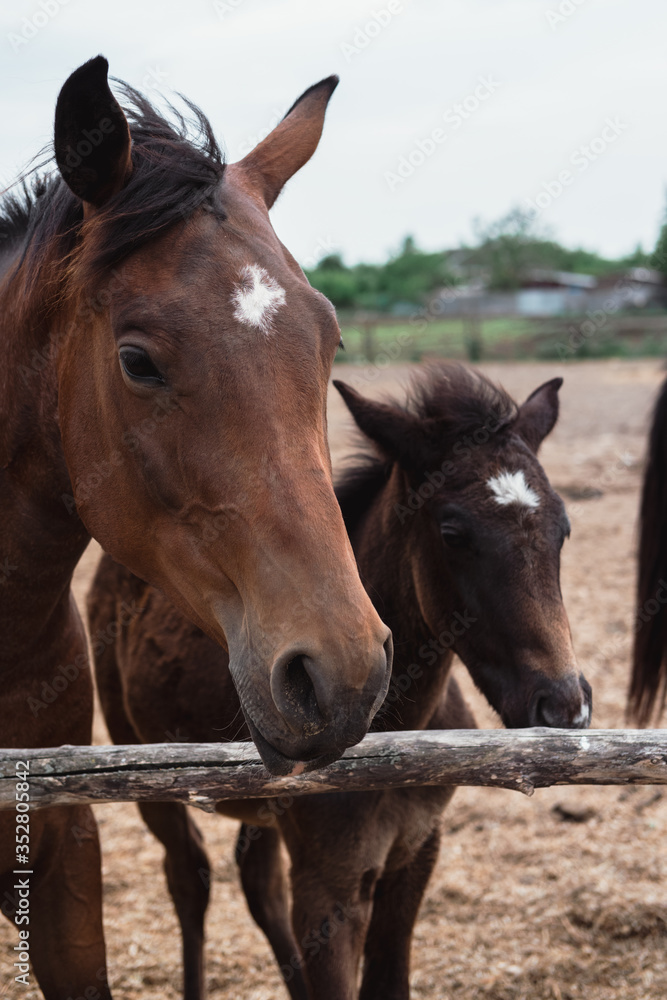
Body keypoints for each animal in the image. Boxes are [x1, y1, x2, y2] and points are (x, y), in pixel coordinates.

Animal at [90, 366, 596, 1000]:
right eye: (452, 532)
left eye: (564, 527)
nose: (565, 706)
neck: (395, 739)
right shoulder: (328, 884)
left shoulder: (415, 852)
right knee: (189, 876)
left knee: (255, 882)